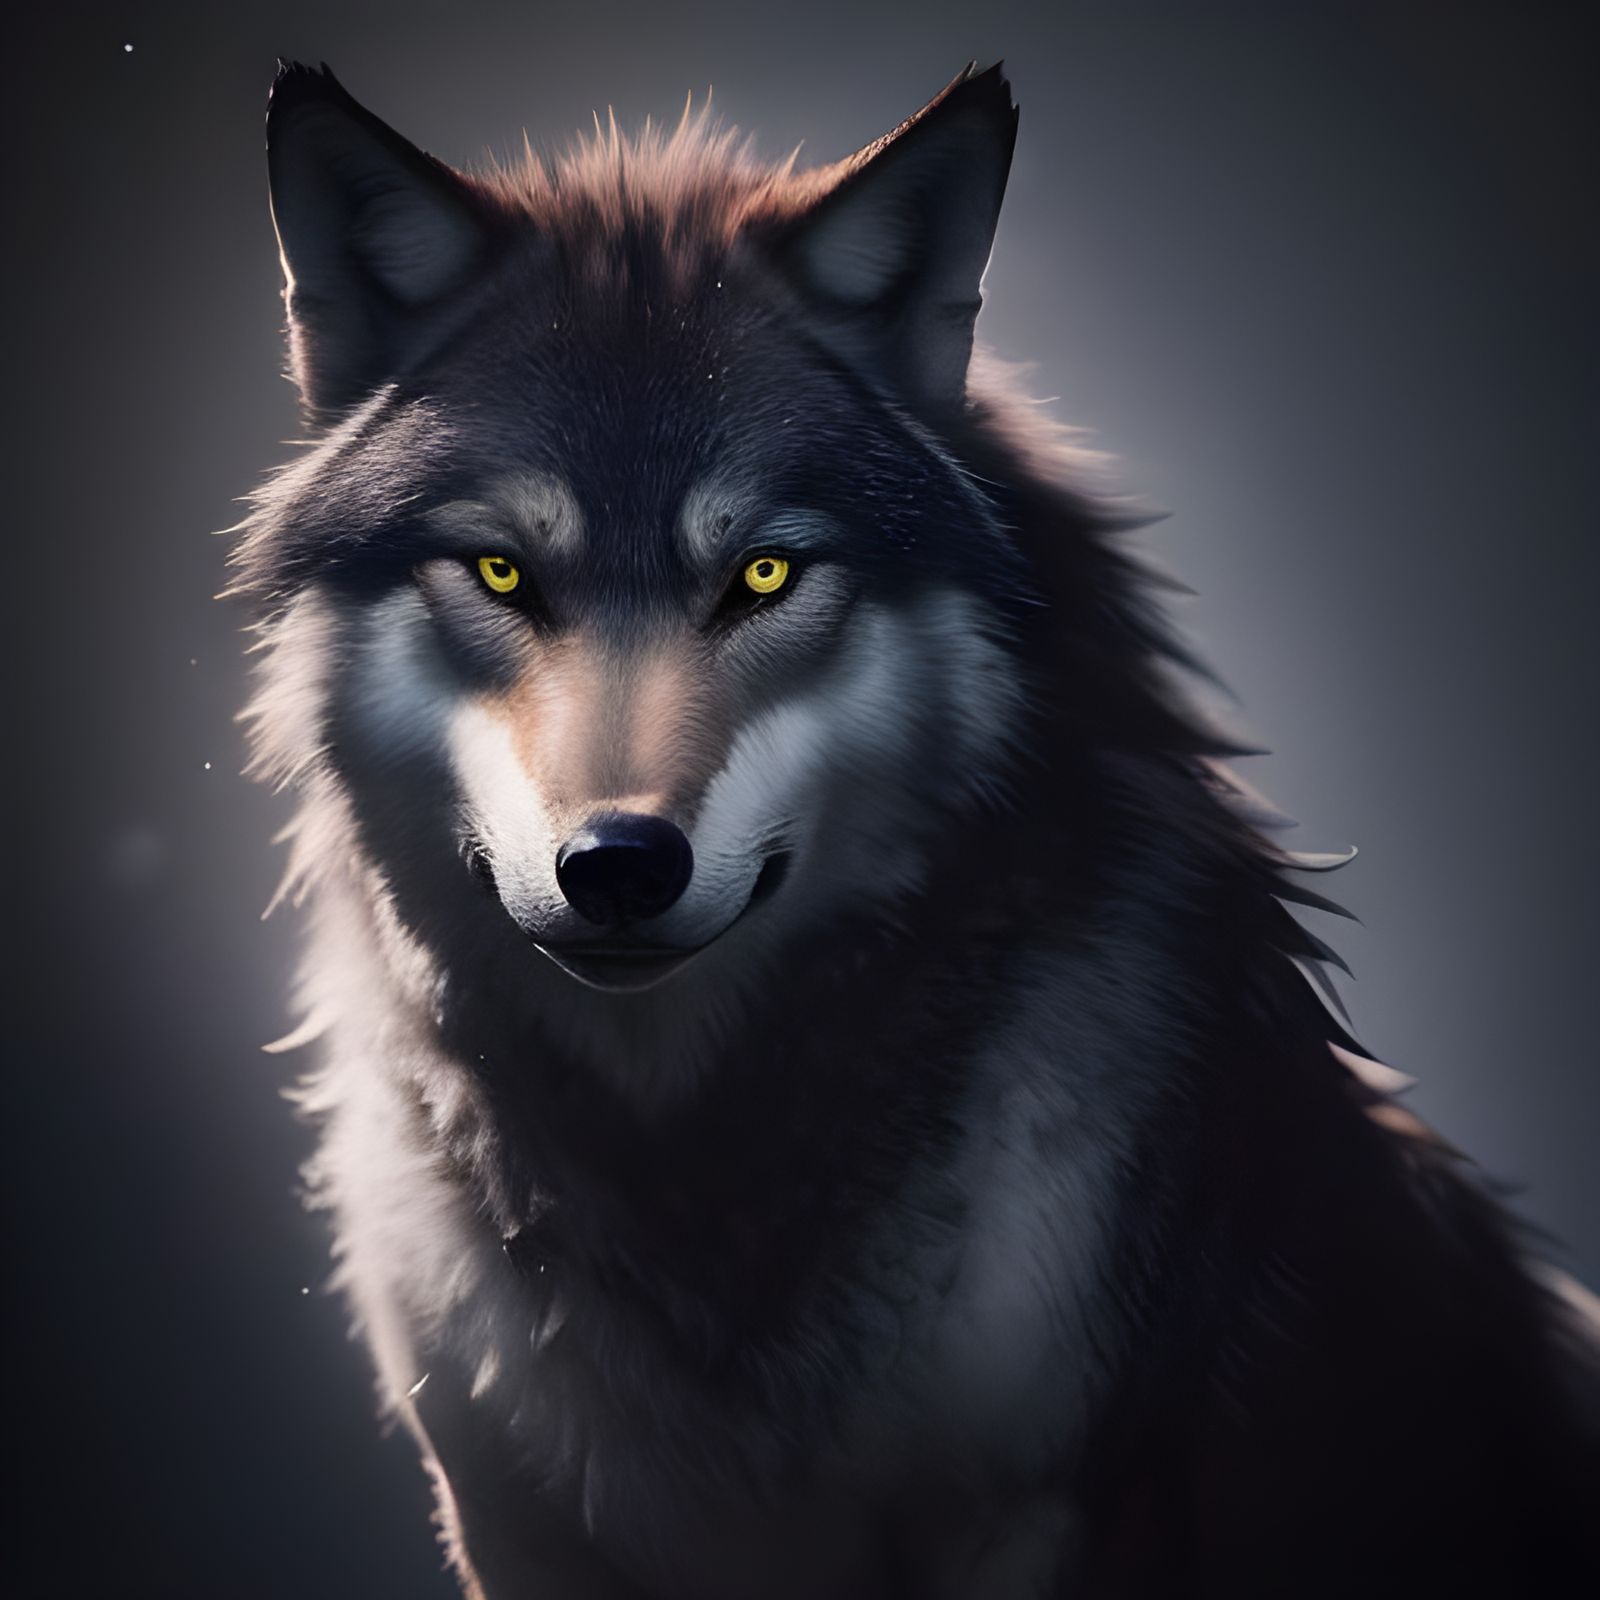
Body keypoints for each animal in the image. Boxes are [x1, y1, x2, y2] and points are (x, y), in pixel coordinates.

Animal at [235, 61, 1597, 1598]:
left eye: (766, 573)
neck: (691, 1175)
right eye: (502, 571)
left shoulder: (1027, 1508)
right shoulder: (513, 1525)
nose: (619, 866)